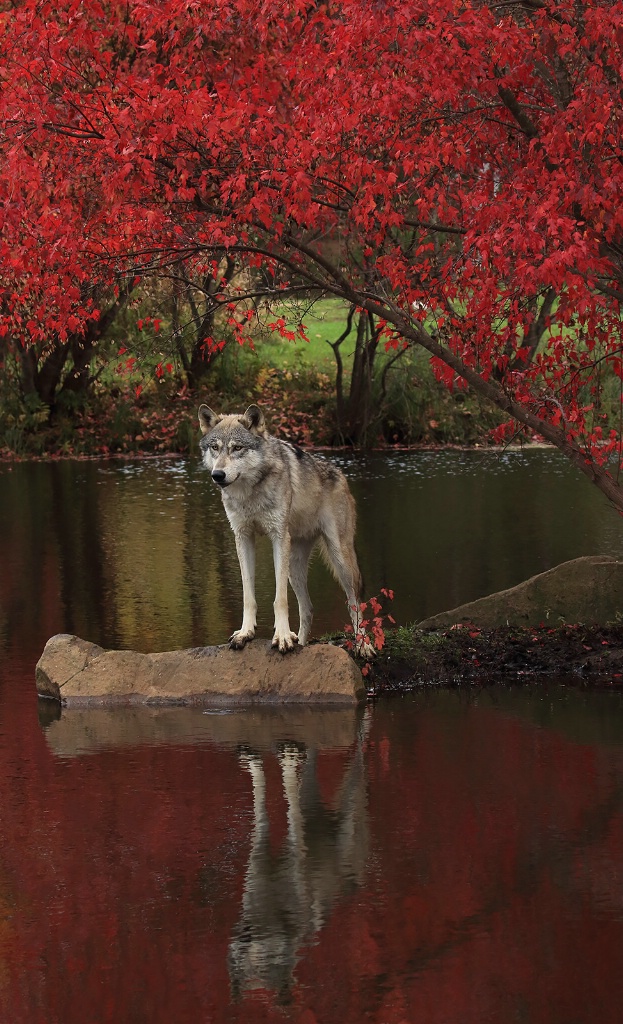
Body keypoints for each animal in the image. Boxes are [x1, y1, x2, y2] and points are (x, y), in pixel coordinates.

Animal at [196, 401, 366, 651]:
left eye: (237, 448)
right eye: (215, 448)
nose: (217, 474)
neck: (250, 493)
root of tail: (341, 474)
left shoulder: (278, 537)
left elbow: (280, 599)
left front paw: (283, 636)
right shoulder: (243, 537)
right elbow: (248, 596)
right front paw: (246, 633)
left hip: (339, 558)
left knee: (354, 602)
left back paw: (364, 646)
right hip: (294, 566)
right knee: (308, 608)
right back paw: (301, 643)